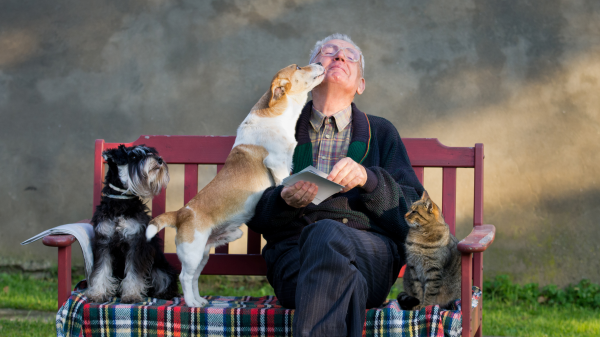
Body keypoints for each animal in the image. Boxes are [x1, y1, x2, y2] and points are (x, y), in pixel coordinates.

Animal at [86, 144, 178, 302]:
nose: (159, 160)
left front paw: (131, 295)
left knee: (165, 280)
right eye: (134, 156)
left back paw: (162, 294)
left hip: (160, 268)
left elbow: (134, 273)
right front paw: (97, 293)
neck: (120, 202)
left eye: (150, 152)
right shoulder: (103, 242)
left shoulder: (136, 244)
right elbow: (100, 270)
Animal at [145, 63, 324, 308]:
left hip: (203, 254)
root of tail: (180, 213)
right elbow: (282, 183)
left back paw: (200, 300)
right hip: (192, 253)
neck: (277, 116)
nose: (321, 63)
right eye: (298, 66)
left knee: (195, 278)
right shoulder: (278, 165)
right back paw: (191, 303)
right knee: (185, 277)